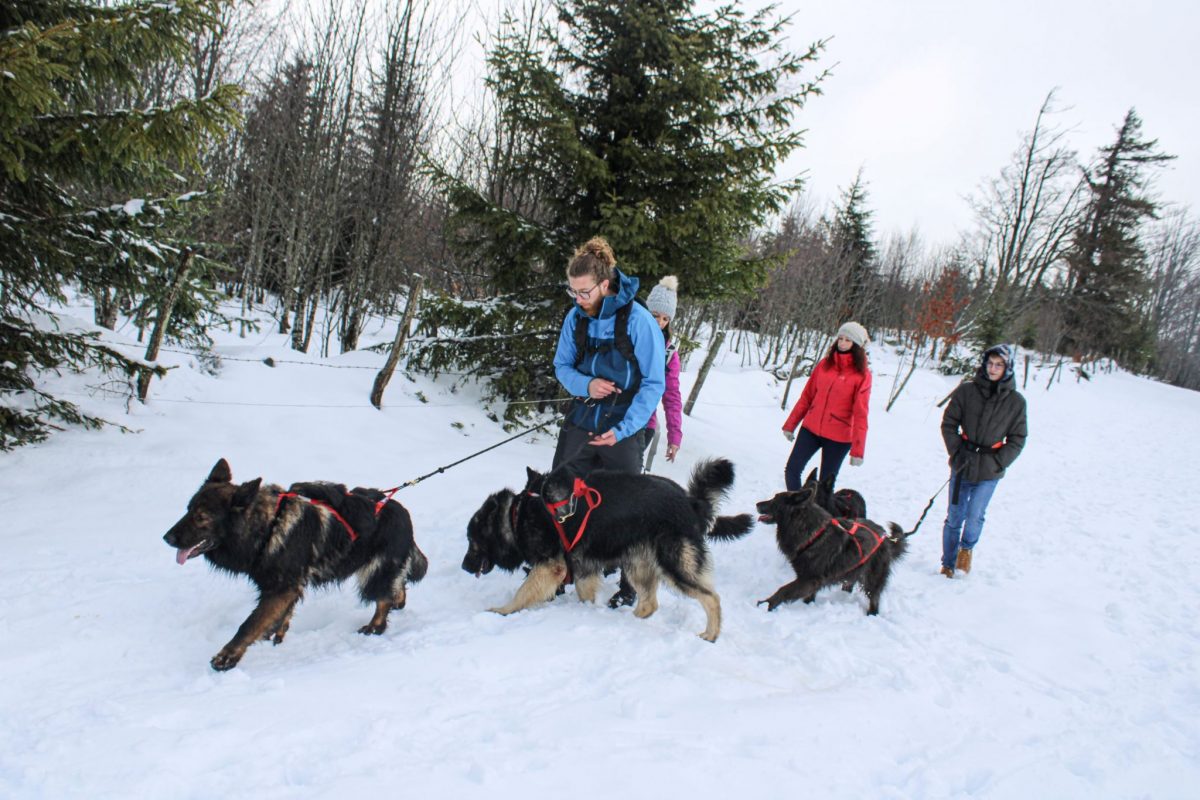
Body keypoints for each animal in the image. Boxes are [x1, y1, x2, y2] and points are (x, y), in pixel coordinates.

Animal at [164, 455, 427, 671]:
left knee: (383, 598)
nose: (166, 538)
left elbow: (249, 625)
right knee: (397, 587)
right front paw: (275, 632)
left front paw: (228, 656)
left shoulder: (281, 588)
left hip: (374, 571)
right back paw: (398, 601)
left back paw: (375, 626)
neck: (268, 526)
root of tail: (402, 511)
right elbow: (279, 615)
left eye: (201, 518)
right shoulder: (287, 586)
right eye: (188, 510)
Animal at [465, 460, 753, 642]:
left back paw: (711, 635)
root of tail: (690, 502)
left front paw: (503, 611)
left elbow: (523, 592)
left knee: (711, 598)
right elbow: (585, 594)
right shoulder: (582, 568)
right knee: (649, 603)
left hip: (673, 565)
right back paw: (630, 619)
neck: (518, 514)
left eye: (472, 541)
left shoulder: (551, 565)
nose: (464, 567)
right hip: (638, 566)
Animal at [753, 482, 902, 618]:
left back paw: (871, 614)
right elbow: (808, 594)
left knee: (874, 597)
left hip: (873, 577)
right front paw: (807, 603)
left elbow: (783, 590)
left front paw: (767, 604)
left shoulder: (808, 578)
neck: (811, 533)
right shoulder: (811, 580)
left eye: (775, 499)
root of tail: (885, 537)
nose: (757, 504)